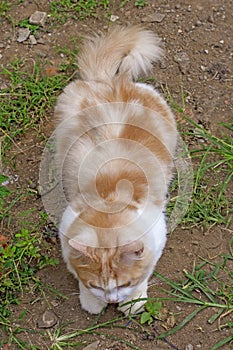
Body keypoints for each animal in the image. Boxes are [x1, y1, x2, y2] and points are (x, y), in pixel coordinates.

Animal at [54, 24, 177, 314]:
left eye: (123, 284)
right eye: (97, 285)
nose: (111, 301)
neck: (110, 200)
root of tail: (110, 82)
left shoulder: (158, 231)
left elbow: (147, 270)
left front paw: (133, 300)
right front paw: (92, 301)